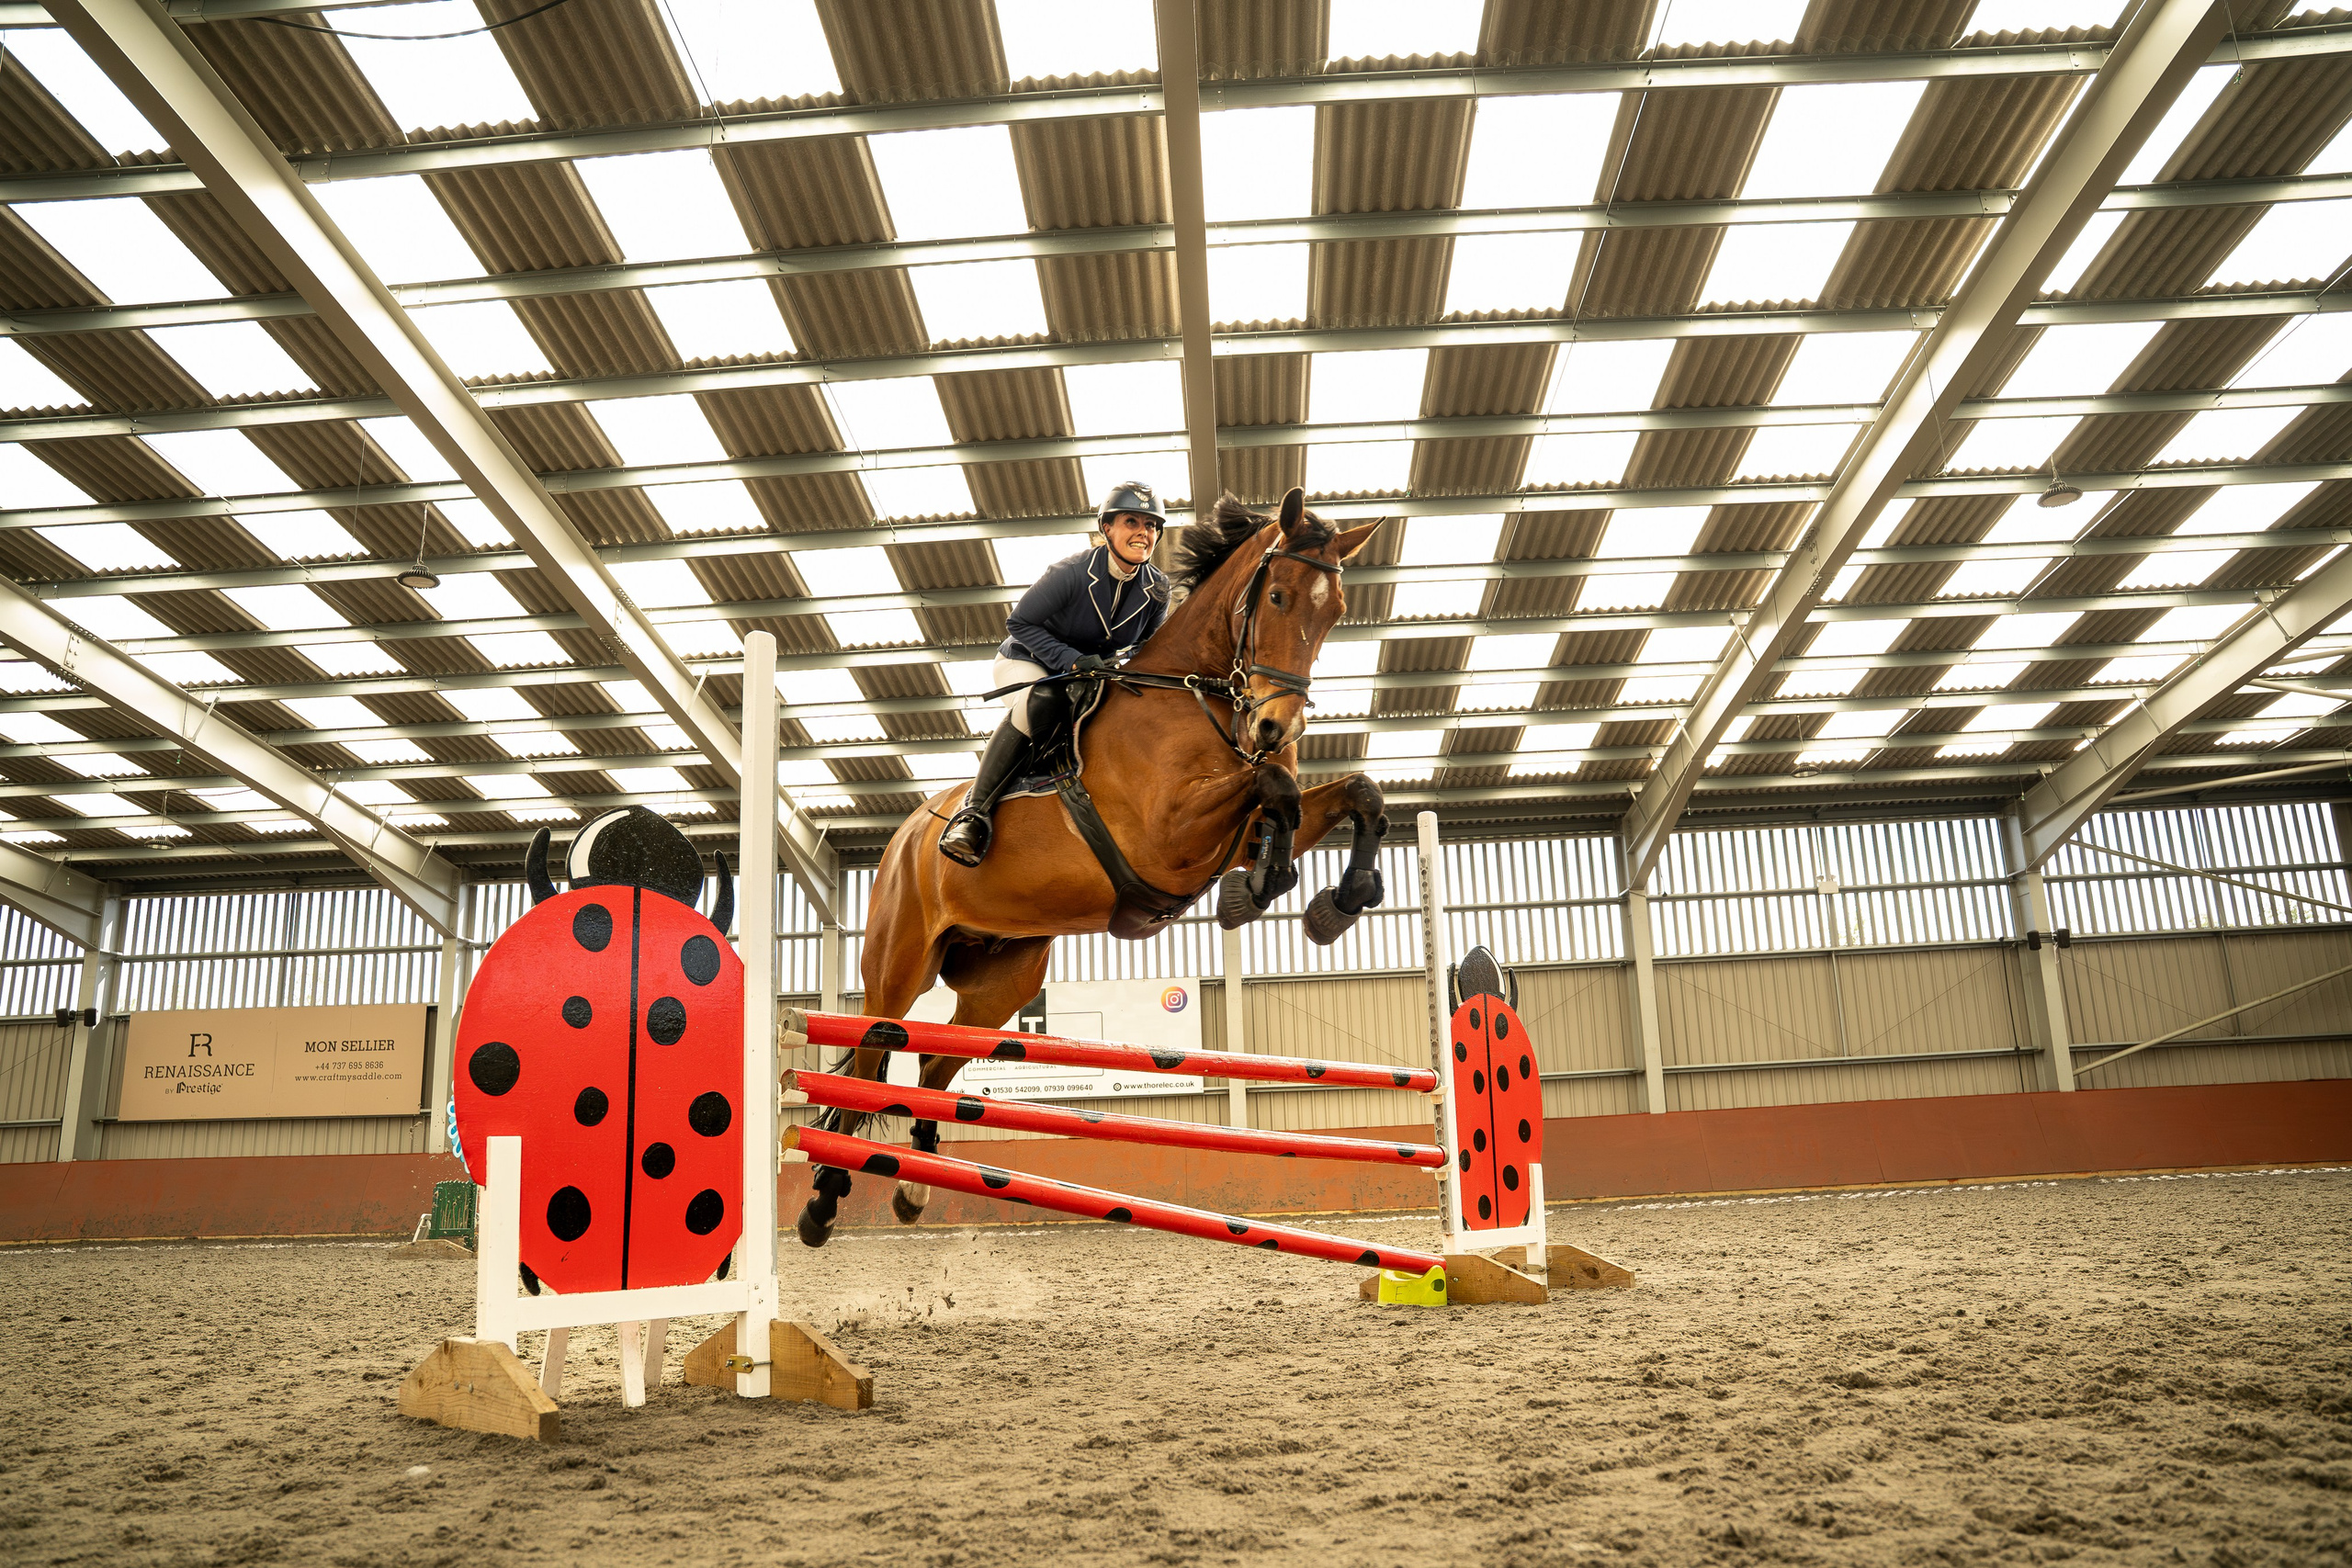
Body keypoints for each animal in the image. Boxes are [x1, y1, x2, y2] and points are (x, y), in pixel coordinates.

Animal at [794, 488, 1393, 1246]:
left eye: (1335, 611)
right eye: (1279, 595)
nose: (1277, 728)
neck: (1194, 697)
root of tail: (907, 833)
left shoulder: (1227, 826)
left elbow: (1351, 792)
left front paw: (1330, 901)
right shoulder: (1167, 833)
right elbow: (1276, 787)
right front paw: (1262, 887)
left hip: (1003, 978)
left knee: (936, 1056)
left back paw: (913, 1187)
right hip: (899, 959)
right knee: (874, 1047)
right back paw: (822, 1198)